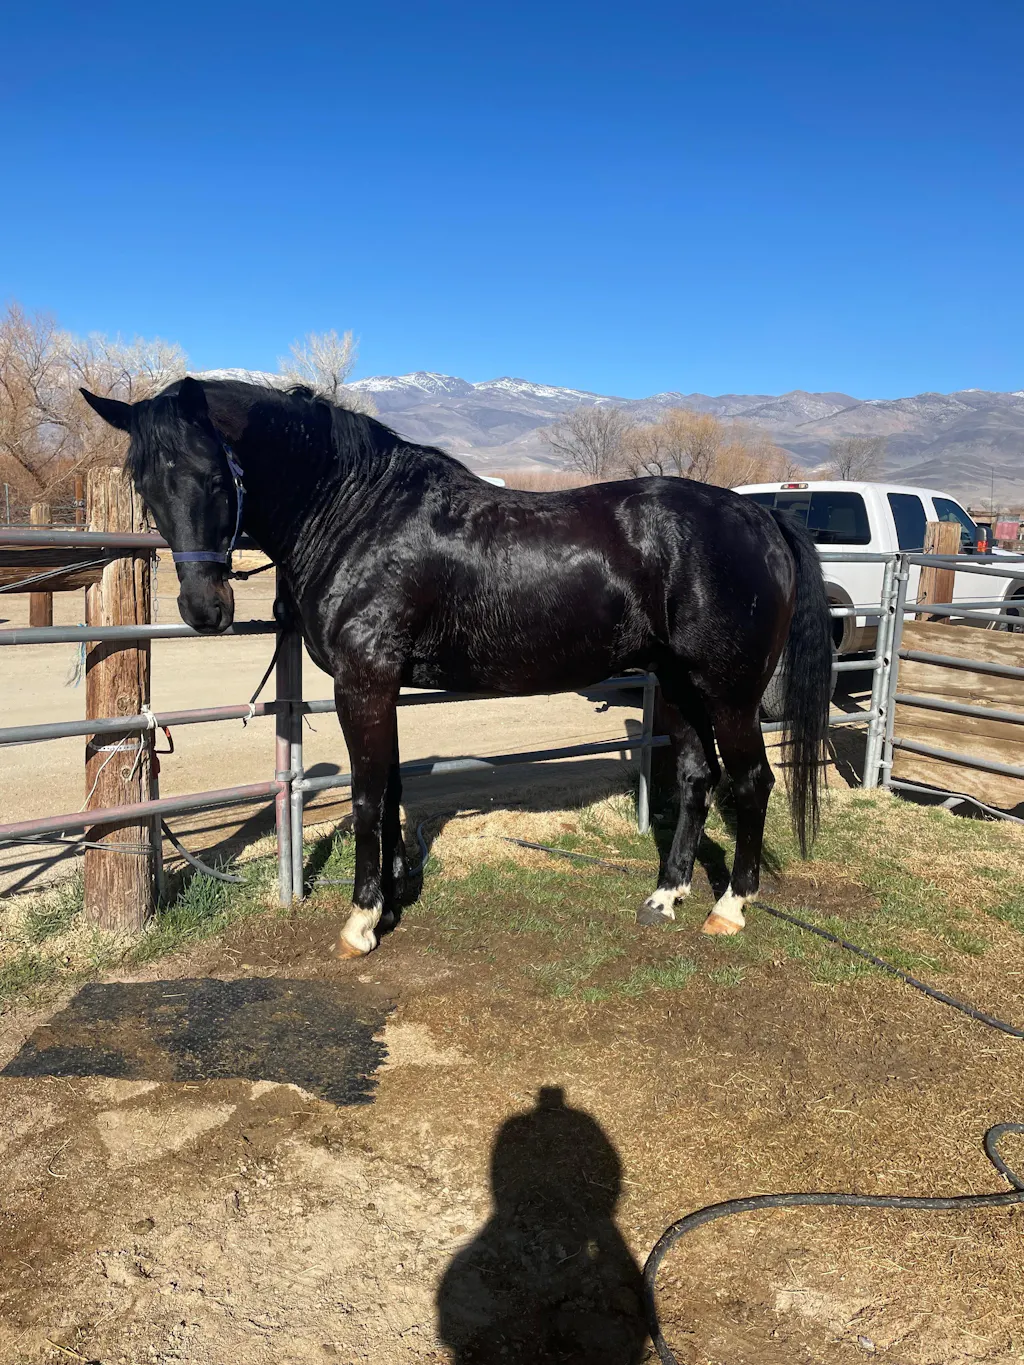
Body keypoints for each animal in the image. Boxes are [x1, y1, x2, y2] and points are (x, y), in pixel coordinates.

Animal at [81, 377, 833, 959]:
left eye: (215, 477)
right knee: (697, 776)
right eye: (144, 484)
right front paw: (388, 904)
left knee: (751, 781)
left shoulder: (364, 684)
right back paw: (667, 894)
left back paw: (729, 908)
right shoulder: (382, 688)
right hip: (678, 684)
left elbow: (366, 796)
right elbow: (389, 789)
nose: (204, 607)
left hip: (729, 693)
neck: (356, 512)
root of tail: (759, 517)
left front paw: (359, 923)